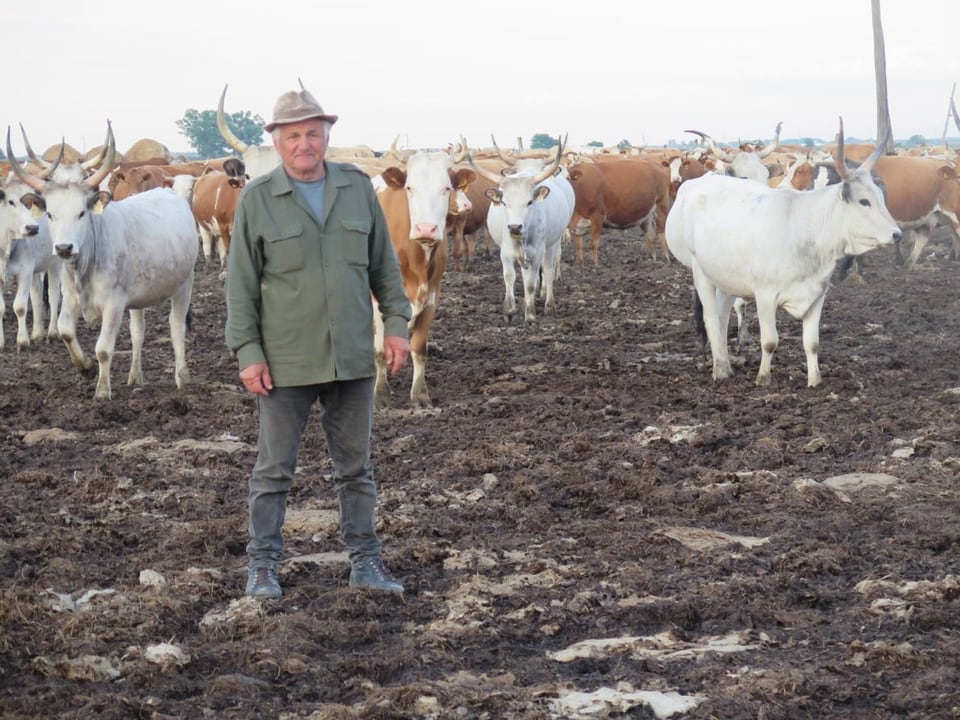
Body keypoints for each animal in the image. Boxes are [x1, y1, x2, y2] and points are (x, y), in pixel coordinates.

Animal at [468, 137, 572, 320]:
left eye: (529, 202)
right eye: (504, 202)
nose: (515, 227)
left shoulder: (537, 252)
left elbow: (530, 283)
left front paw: (530, 313)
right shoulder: (505, 252)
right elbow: (509, 277)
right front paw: (509, 308)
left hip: (551, 244)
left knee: (548, 270)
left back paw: (548, 303)